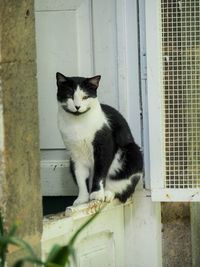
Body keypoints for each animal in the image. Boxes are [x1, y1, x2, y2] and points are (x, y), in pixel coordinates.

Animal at [56, 72, 143, 206]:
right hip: (70, 160)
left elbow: (100, 172)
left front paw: (97, 194)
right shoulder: (75, 155)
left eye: (85, 97)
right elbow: (80, 177)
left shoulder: (104, 147)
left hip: (133, 152)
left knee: (122, 186)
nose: (77, 106)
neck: (77, 124)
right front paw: (82, 198)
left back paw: (107, 193)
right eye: (69, 95)